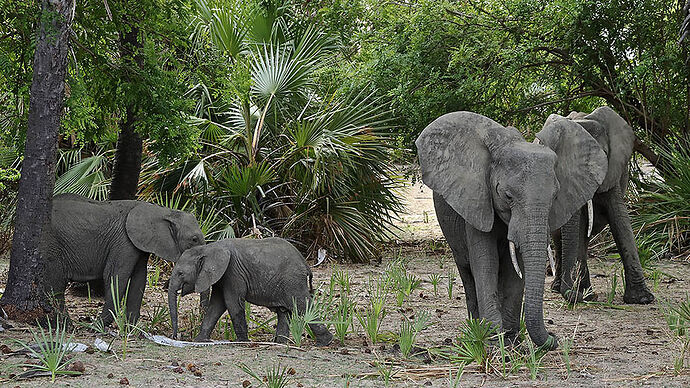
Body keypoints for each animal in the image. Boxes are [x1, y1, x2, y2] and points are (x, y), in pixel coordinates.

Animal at [44, 194, 202, 324]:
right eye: (194, 239)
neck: (162, 211)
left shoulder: (138, 244)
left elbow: (139, 278)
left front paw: (129, 327)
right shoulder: (124, 241)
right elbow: (116, 276)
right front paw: (98, 326)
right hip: (51, 244)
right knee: (57, 282)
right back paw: (64, 324)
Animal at [165, 236, 330, 346]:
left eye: (180, 273)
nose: (175, 337)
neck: (208, 248)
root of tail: (305, 264)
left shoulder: (233, 272)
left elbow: (231, 302)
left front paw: (241, 341)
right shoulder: (220, 276)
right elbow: (216, 305)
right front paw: (200, 340)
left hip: (293, 281)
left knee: (303, 306)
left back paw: (324, 343)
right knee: (284, 312)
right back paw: (279, 343)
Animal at [412, 110, 604, 348]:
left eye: (555, 197)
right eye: (507, 196)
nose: (555, 337)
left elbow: (516, 269)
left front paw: (513, 342)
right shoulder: (477, 201)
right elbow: (486, 262)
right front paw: (494, 340)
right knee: (466, 270)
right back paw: (475, 330)